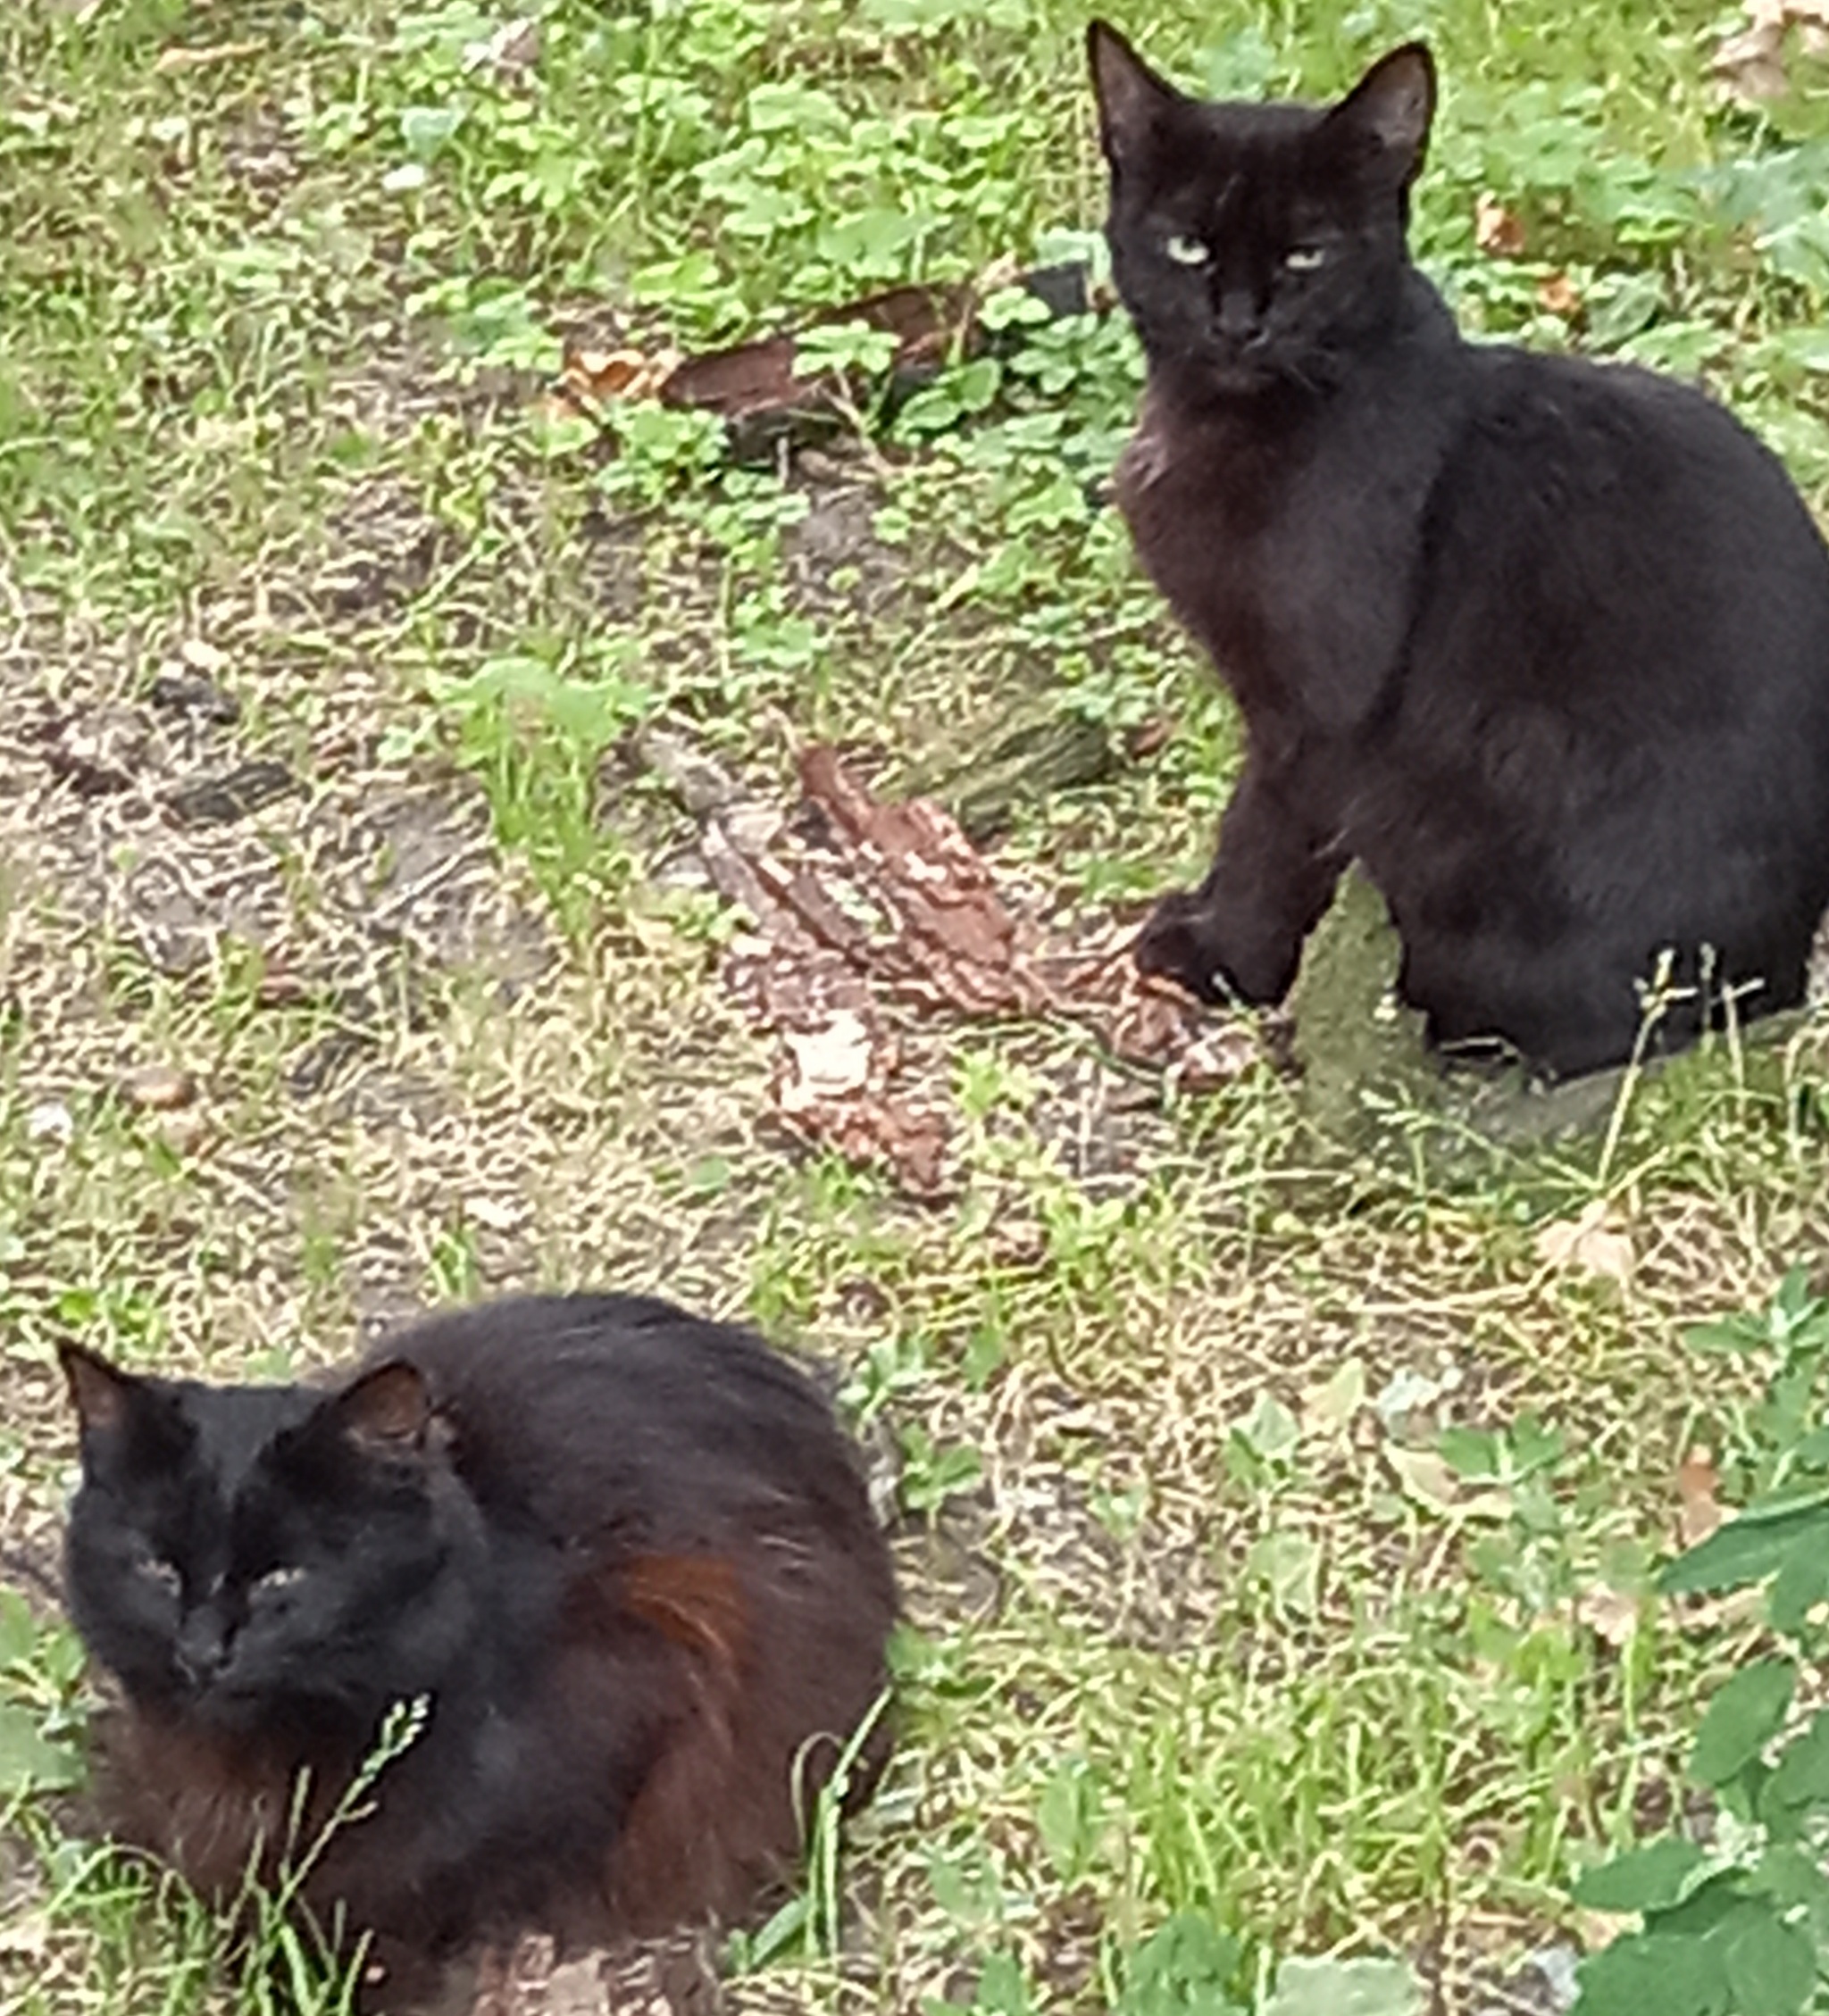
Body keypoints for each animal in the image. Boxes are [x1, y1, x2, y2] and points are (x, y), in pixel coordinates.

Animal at [1089, 23, 1829, 1080]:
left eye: (1307, 255)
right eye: (1186, 245)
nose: (1238, 323)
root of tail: (1777, 973)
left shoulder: (1319, 705)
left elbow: (1264, 832)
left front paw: (1223, 956)